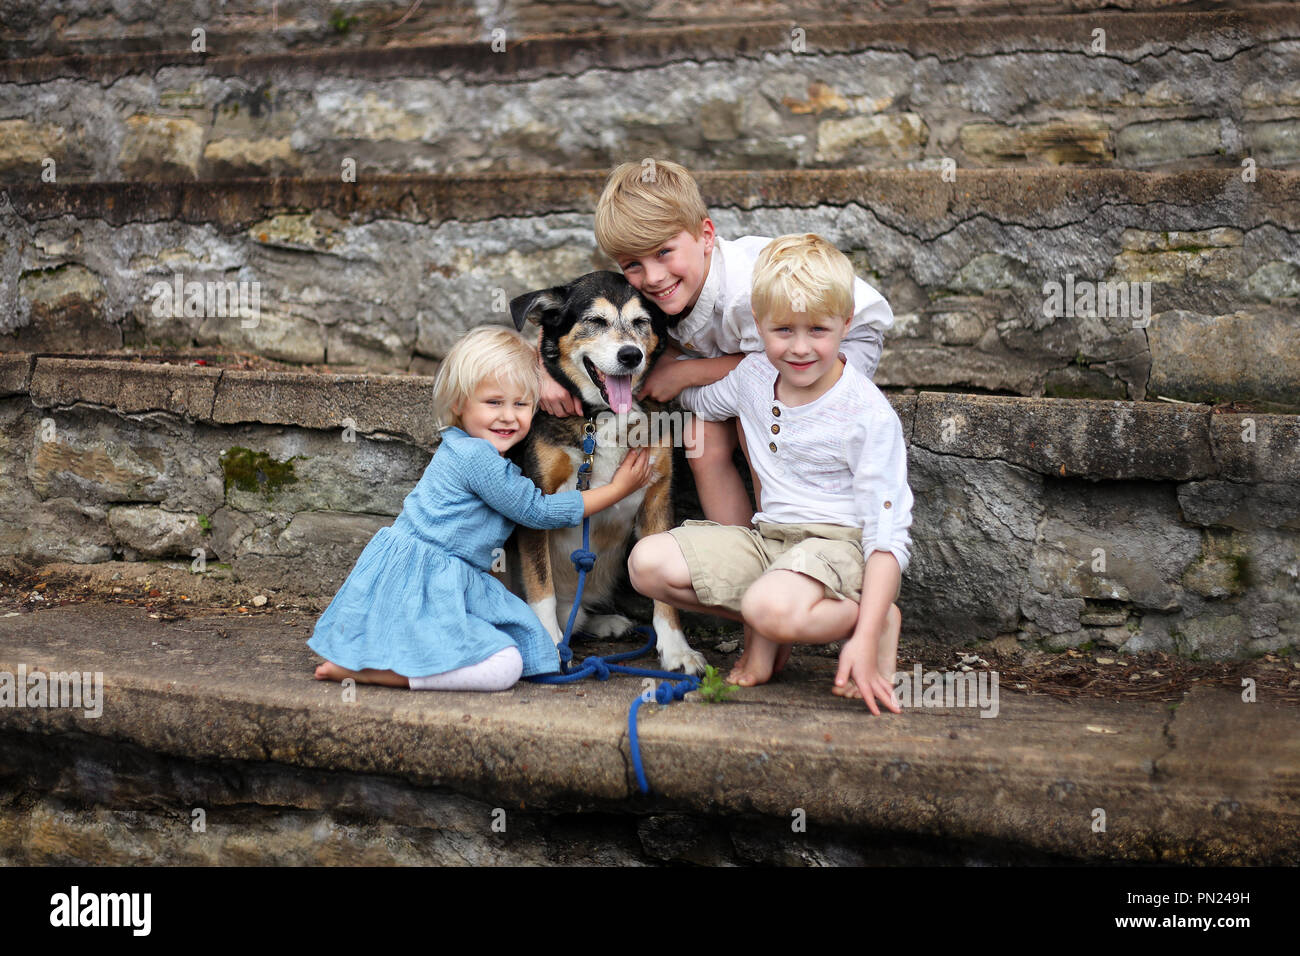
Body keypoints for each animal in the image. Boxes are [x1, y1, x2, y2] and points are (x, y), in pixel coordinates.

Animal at [509, 269, 712, 671]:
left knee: (579, 615)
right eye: (595, 321)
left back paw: (605, 623)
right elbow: (540, 585)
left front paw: (676, 649)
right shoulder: (535, 502)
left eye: (641, 322)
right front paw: (549, 645)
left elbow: (664, 597)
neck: (600, 419)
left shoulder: (657, 499)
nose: (631, 355)